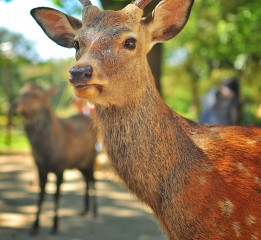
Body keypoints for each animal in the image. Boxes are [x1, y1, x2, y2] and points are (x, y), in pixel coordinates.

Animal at [12, 83, 97, 234]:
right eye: (21, 91)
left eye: (35, 95)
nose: (13, 104)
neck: (46, 153)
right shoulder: (40, 168)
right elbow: (41, 195)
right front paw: (35, 226)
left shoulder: (60, 168)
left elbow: (56, 196)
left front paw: (55, 226)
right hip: (79, 164)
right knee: (87, 180)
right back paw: (85, 210)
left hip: (91, 159)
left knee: (93, 180)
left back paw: (95, 212)